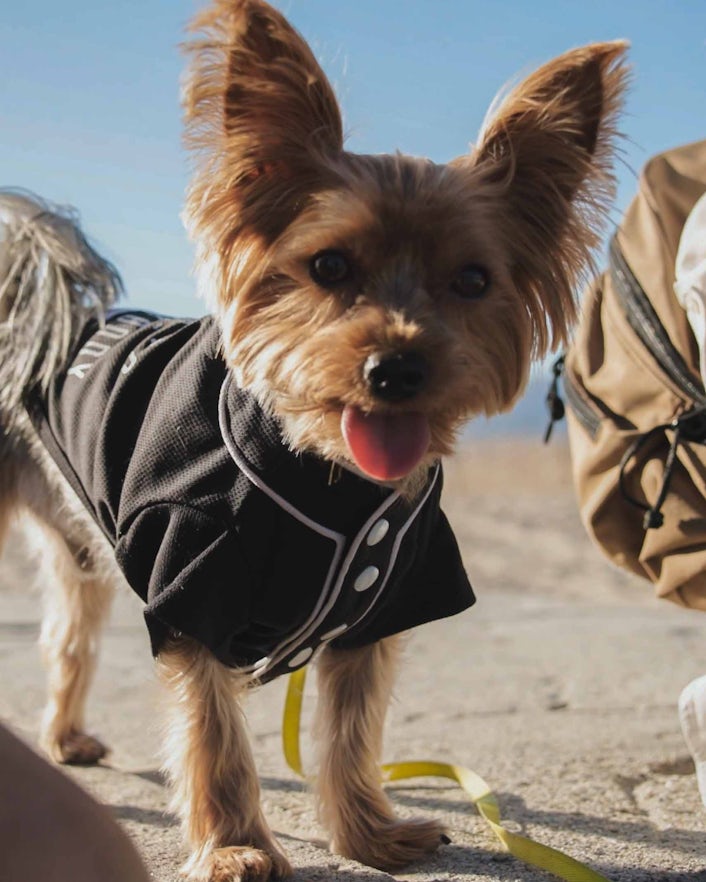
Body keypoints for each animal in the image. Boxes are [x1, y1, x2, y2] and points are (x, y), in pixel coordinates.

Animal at [0, 3, 628, 876]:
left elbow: (352, 732)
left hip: (79, 541)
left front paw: (370, 834)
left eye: (473, 281)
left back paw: (64, 737)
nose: (398, 367)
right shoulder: (191, 583)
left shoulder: (381, 601)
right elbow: (216, 739)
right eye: (328, 266)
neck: (321, 475)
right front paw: (236, 846)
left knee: (69, 630)